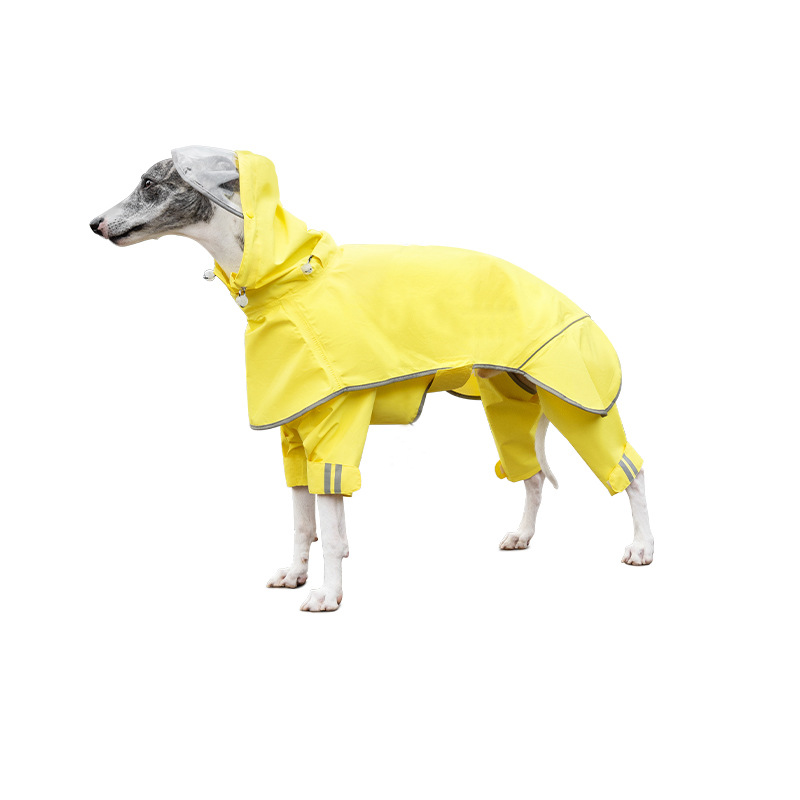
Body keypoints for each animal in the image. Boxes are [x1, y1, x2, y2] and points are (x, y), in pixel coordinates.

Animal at [91, 147, 654, 612]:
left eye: (148, 181)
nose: (93, 223)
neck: (287, 279)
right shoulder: (294, 435)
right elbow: (304, 522)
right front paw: (296, 574)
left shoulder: (334, 429)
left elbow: (333, 530)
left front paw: (328, 595)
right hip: (510, 404)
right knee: (532, 475)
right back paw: (522, 535)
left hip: (578, 403)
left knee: (631, 472)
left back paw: (643, 546)